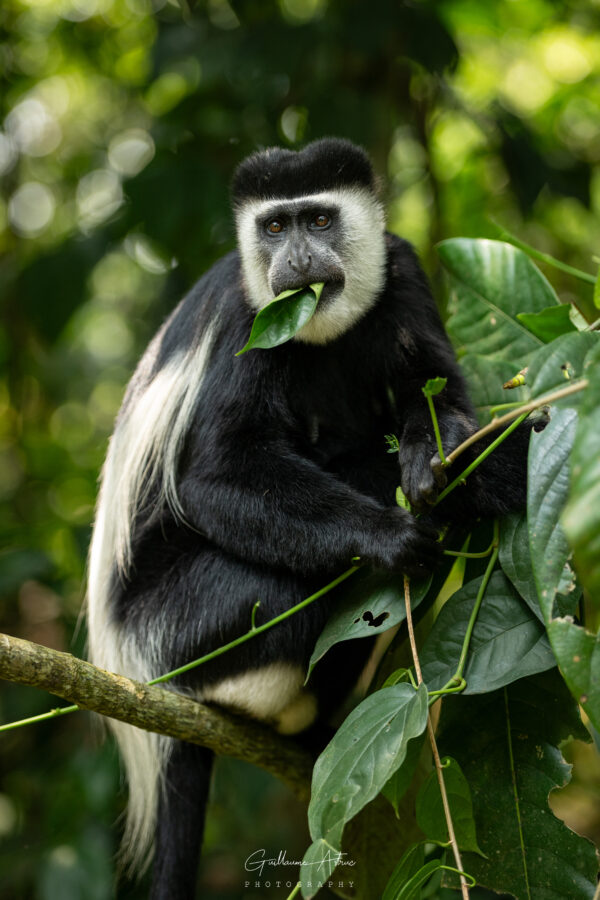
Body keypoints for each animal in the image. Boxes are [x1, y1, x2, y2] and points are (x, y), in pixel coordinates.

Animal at [85, 137, 528, 896]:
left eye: (318, 220)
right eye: (273, 227)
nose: (295, 258)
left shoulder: (403, 272)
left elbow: (438, 391)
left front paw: (436, 464)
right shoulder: (248, 319)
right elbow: (216, 474)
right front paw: (393, 532)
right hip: (170, 630)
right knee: (281, 582)